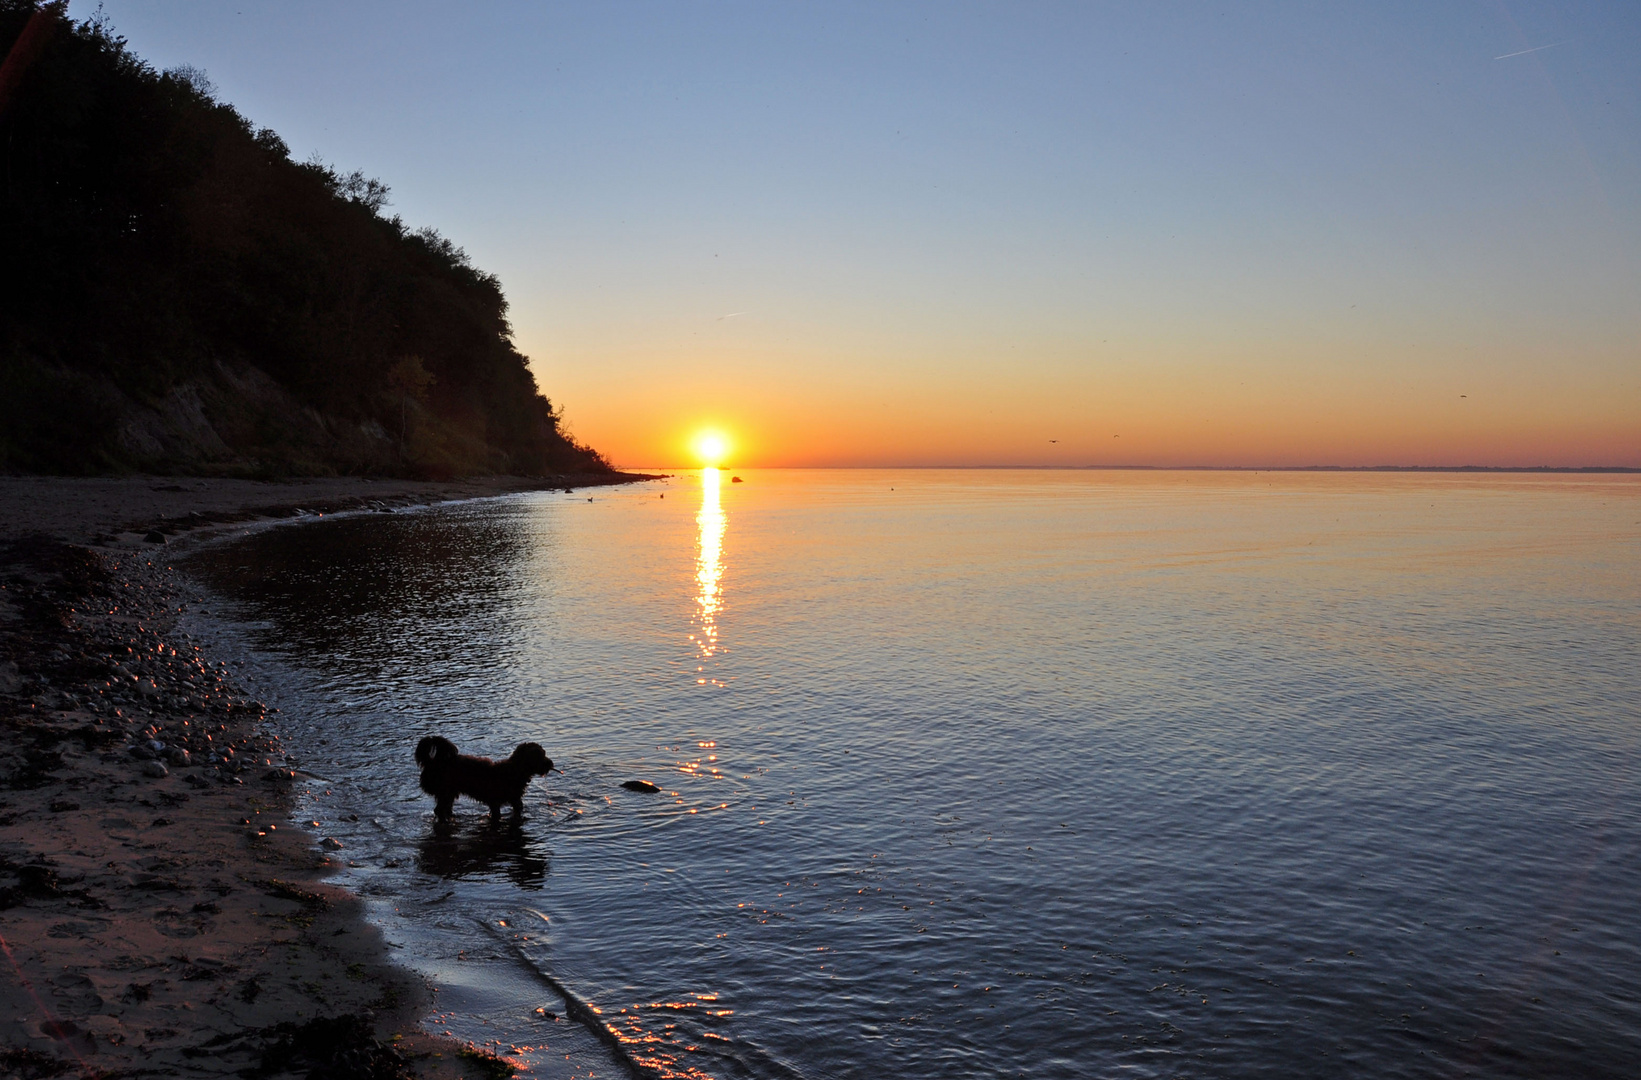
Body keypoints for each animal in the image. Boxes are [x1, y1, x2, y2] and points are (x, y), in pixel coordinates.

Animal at [413, 735, 554, 820]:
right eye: (541, 755)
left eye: (544, 753)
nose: (551, 763)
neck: (515, 770)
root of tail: (433, 763)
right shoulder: (495, 802)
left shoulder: (515, 800)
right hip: (445, 792)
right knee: (439, 810)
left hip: (449, 793)